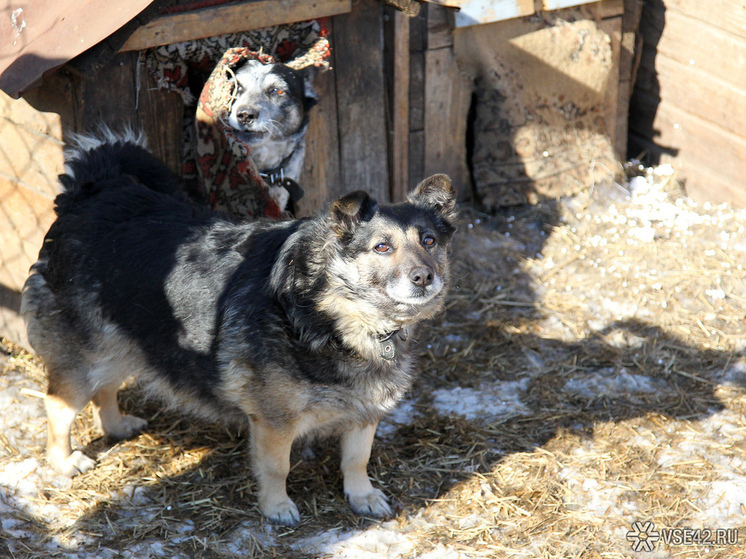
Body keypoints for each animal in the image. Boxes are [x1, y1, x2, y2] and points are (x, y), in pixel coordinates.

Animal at [23, 131, 454, 524]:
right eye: (382, 247)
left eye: (429, 241)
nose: (424, 277)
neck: (324, 310)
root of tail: (91, 193)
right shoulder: (274, 421)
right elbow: (277, 467)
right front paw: (276, 508)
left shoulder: (365, 411)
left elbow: (357, 460)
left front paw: (362, 496)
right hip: (85, 355)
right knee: (57, 405)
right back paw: (64, 462)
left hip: (124, 344)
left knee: (105, 389)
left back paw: (116, 426)